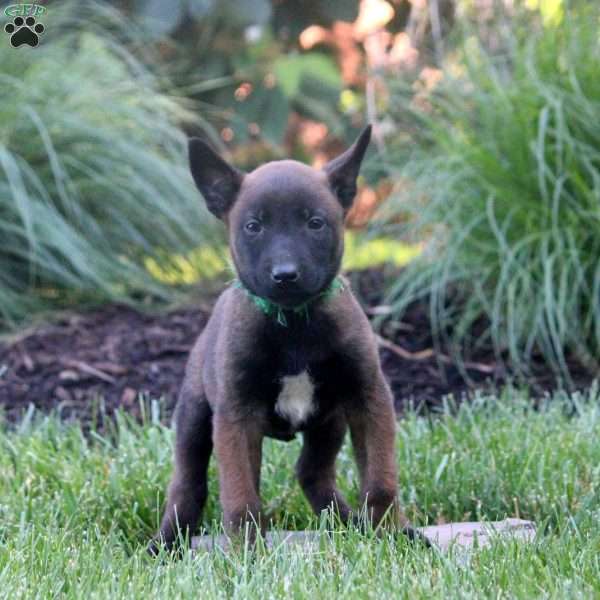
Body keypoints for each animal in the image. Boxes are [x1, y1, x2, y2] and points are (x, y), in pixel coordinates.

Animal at [151, 126, 412, 552]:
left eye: (315, 223)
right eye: (254, 226)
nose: (285, 275)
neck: (294, 327)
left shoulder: (367, 398)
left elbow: (380, 478)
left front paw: (392, 534)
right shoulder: (236, 417)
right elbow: (240, 494)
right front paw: (246, 553)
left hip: (329, 421)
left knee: (311, 471)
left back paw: (347, 522)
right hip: (194, 418)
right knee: (188, 484)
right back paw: (167, 542)